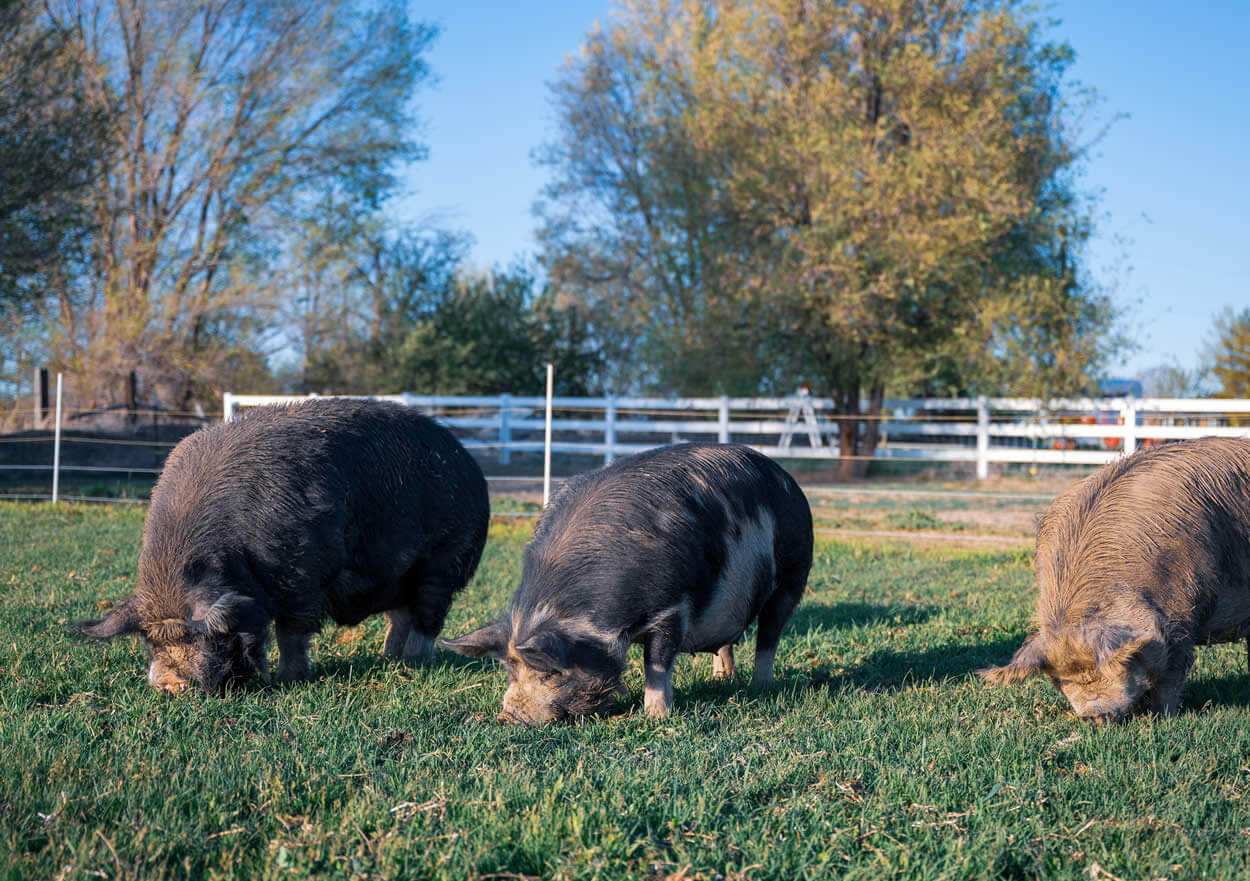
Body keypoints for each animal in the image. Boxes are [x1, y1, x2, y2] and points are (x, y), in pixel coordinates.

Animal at [975, 437, 1250, 719]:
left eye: (1116, 664)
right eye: (1061, 680)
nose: (1094, 714)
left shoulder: (1183, 611)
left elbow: (1172, 674)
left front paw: (1161, 717)